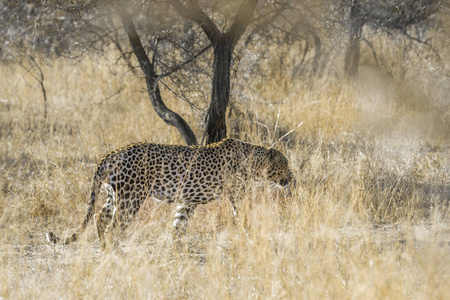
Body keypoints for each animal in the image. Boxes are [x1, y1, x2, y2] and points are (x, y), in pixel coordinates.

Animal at [47, 137, 294, 250]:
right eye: (285, 163)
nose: (292, 177)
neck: (255, 160)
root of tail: (113, 153)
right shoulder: (238, 196)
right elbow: (244, 216)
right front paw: (256, 237)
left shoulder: (188, 201)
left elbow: (179, 224)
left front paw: (177, 249)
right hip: (131, 199)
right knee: (112, 226)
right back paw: (114, 252)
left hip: (114, 195)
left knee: (100, 217)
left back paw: (104, 247)